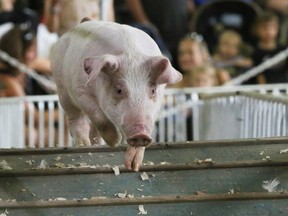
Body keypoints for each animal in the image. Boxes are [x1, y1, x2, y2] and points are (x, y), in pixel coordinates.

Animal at [48, 17, 181, 171]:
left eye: (153, 90)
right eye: (119, 90)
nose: (140, 133)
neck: (132, 56)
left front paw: (133, 167)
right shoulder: (80, 90)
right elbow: (98, 117)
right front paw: (114, 142)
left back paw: (95, 144)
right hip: (62, 87)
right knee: (75, 117)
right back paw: (83, 144)